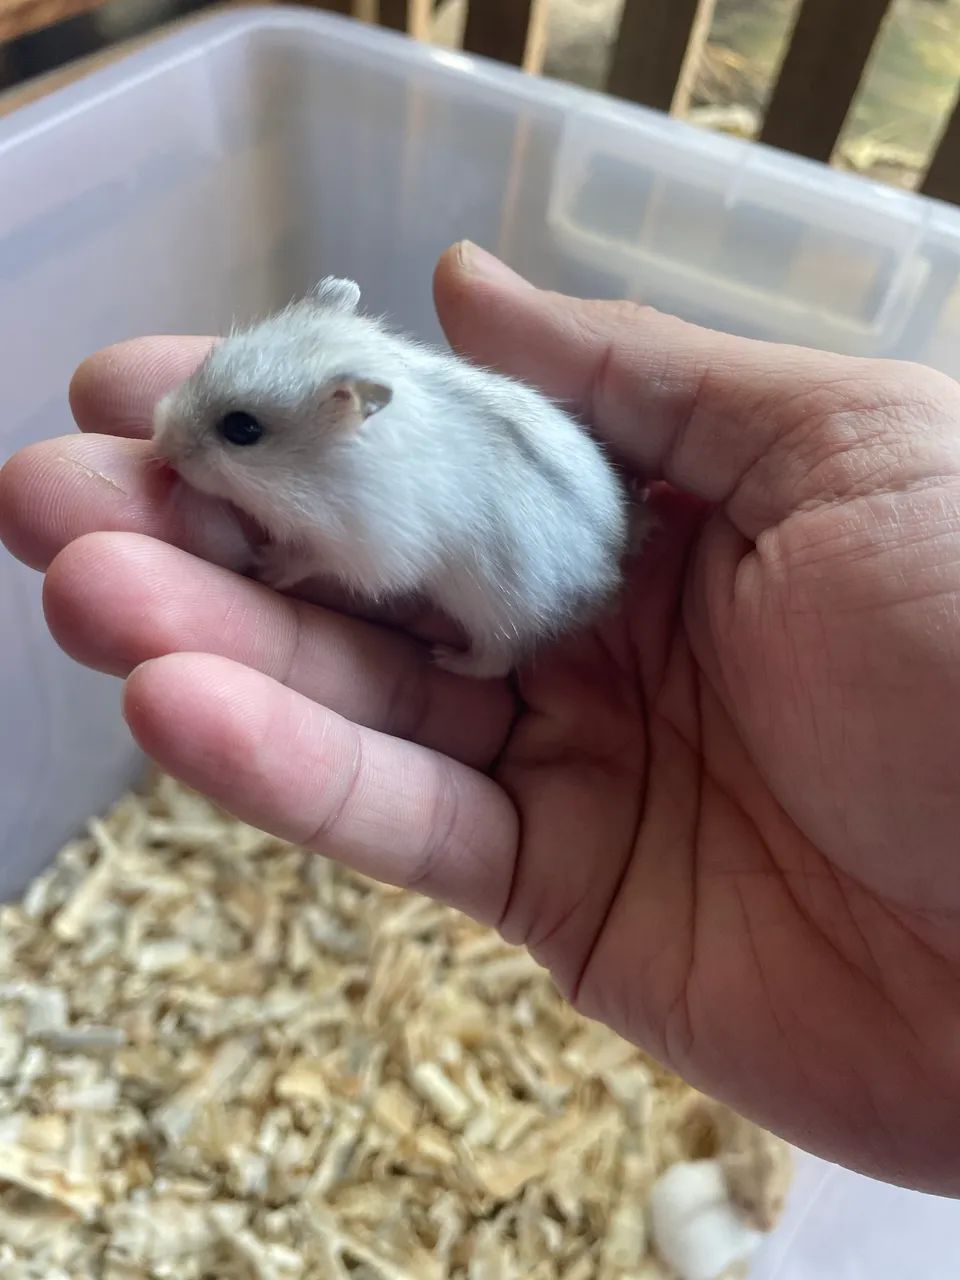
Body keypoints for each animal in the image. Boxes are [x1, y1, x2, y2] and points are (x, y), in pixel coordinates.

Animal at [152, 277, 635, 679]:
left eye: (242, 429)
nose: (158, 445)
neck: (316, 470)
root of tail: (609, 573)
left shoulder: (369, 547)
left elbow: (311, 557)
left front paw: (266, 564)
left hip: (501, 616)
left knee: (496, 662)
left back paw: (446, 659)